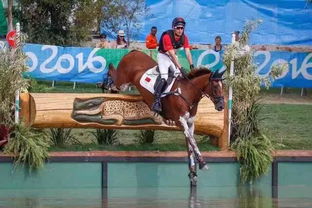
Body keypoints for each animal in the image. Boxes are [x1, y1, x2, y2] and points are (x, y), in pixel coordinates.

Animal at [107, 50, 224, 185]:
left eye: (223, 86)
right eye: (215, 87)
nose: (221, 106)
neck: (187, 92)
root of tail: (133, 52)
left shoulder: (190, 123)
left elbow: (189, 144)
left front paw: (193, 173)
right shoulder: (180, 121)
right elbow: (193, 141)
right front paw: (202, 163)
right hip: (123, 82)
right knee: (114, 81)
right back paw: (108, 79)